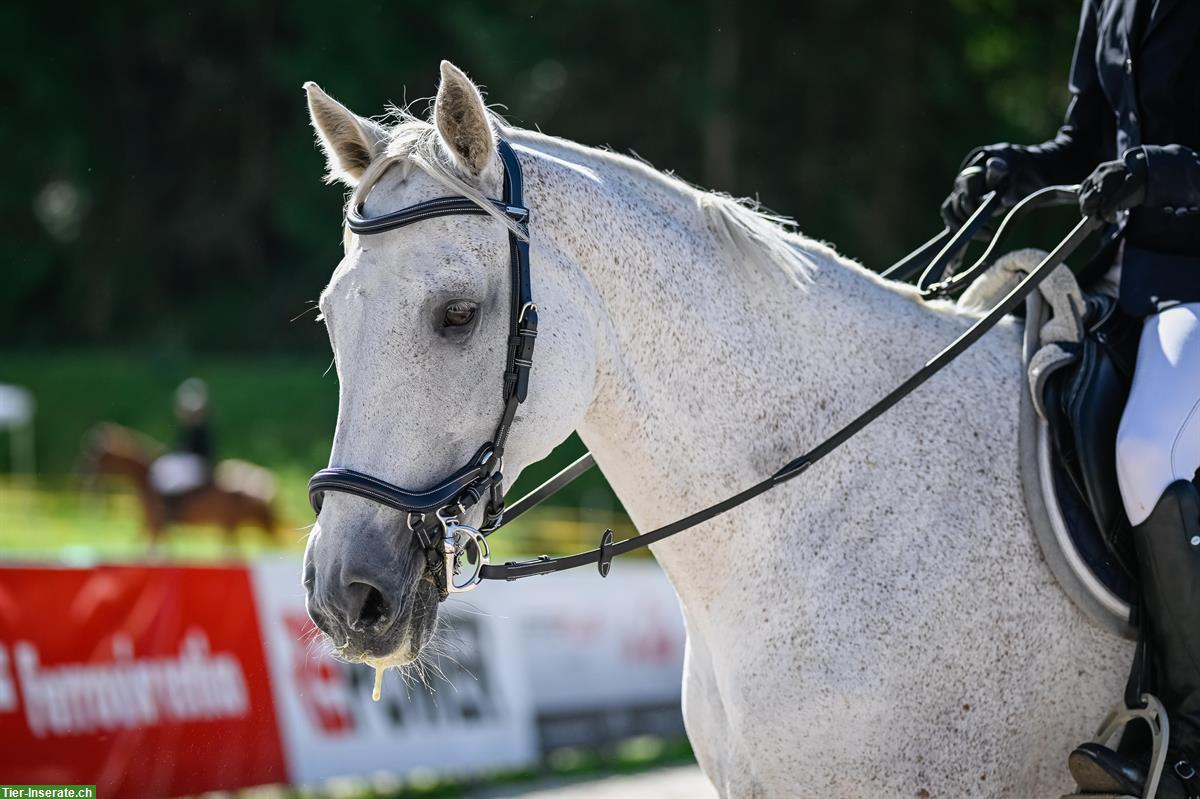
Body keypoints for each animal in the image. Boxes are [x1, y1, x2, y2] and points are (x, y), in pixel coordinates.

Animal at [85, 419, 280, 544]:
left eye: (96, 453)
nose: (87, 476)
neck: (147, 481)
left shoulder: (155, 527)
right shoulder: (153, 528)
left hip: (234, 526)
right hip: (231, 526)